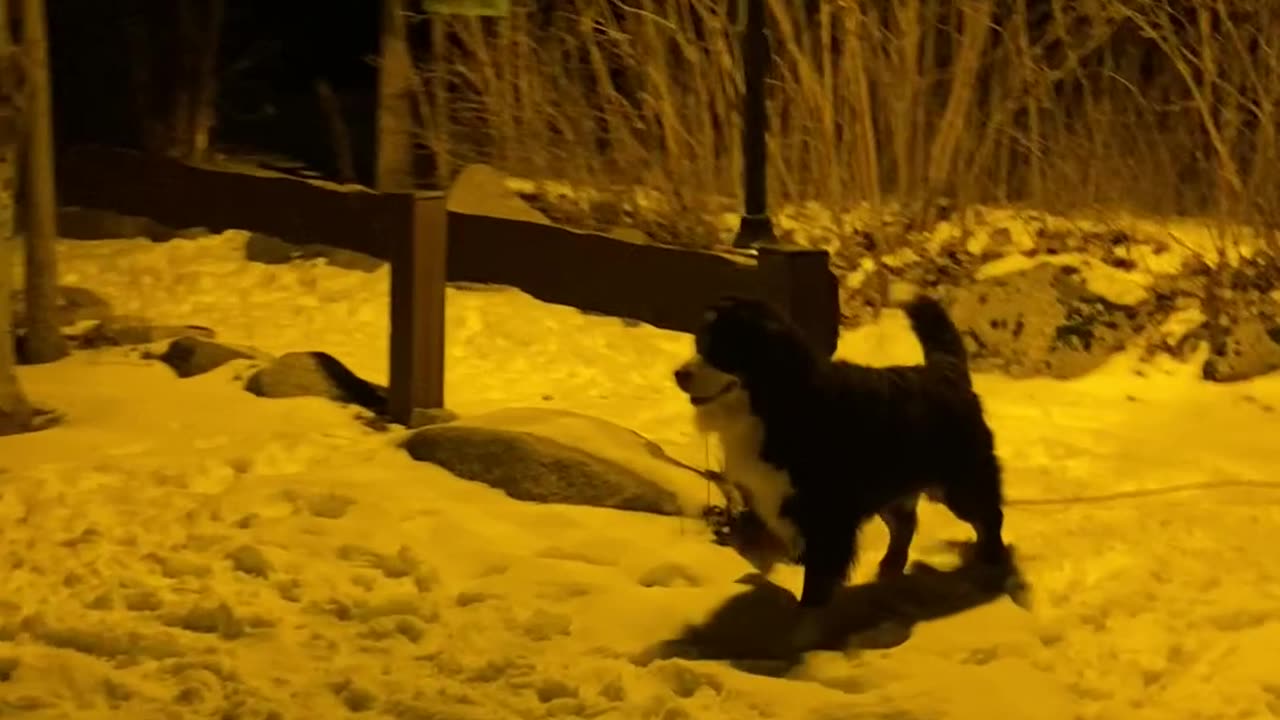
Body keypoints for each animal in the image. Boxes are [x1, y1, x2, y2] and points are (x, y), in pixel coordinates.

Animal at [675, 293, 1013, 617]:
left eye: (723, 346)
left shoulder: (829, 515)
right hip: (891, 486)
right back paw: (889, 569)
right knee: (904, 526)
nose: (678, 374)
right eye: (700, 341)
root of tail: (946, 371)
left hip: (959, 485)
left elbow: (817, 582)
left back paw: (992, 564)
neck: (776, 404)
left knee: (989, 518)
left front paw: (804, 621)